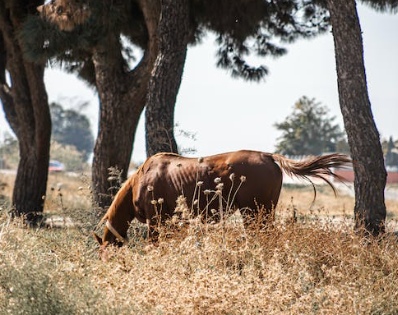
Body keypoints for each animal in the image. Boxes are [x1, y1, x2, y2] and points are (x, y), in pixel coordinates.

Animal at [91, 152, 350, 251]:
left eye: (106, 252)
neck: (140, 179)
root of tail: (268, 156)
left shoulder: (156, 223)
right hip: (261, 213)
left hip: (256, 213)